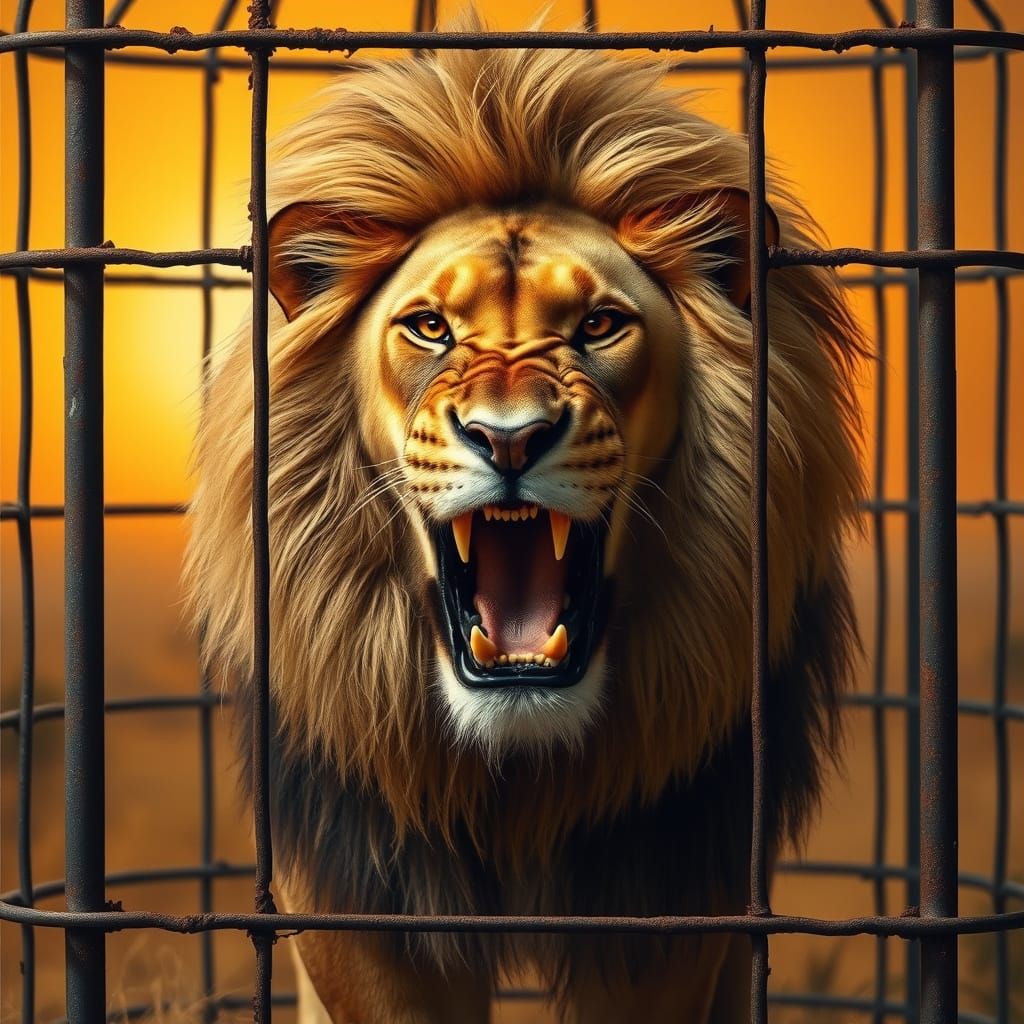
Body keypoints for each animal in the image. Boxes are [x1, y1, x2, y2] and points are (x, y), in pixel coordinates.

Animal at [185, 16, 864, 1023]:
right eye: (430, 328)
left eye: (600, 326)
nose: (510, 438)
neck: (516, 782)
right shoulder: (358, 893)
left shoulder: (668, 898)